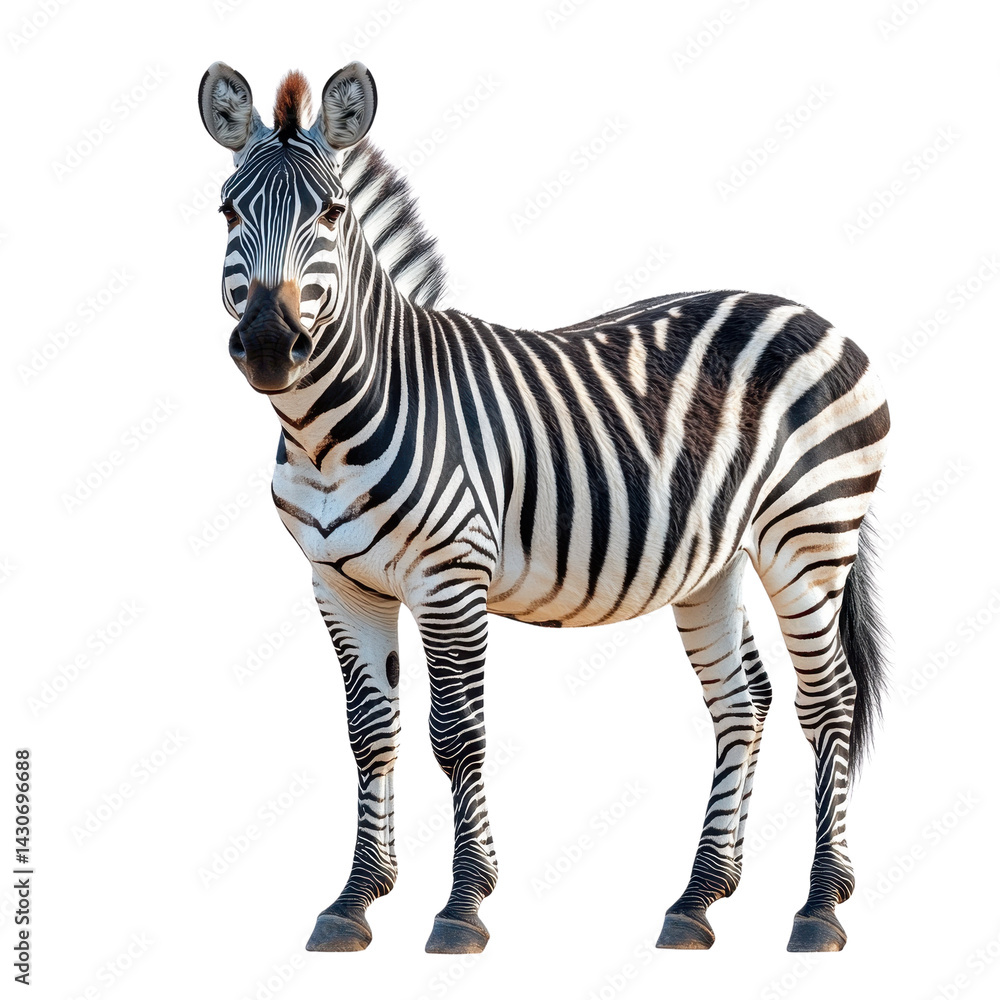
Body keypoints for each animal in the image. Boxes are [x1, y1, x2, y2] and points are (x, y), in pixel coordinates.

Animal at [198, 60, 890, 955]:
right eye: (228, 211)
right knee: (744, 701)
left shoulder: (450, 578)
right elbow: (370, 735)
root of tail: (813, 313)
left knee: (828, 699)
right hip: (716, 560)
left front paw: (463, 905)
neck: (328, 434)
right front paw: (354, 901)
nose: (270, 346)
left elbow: (456, 736)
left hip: (810, 538)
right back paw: (698, 899)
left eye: (331, 213)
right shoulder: (339, 585)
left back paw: (820, 905)